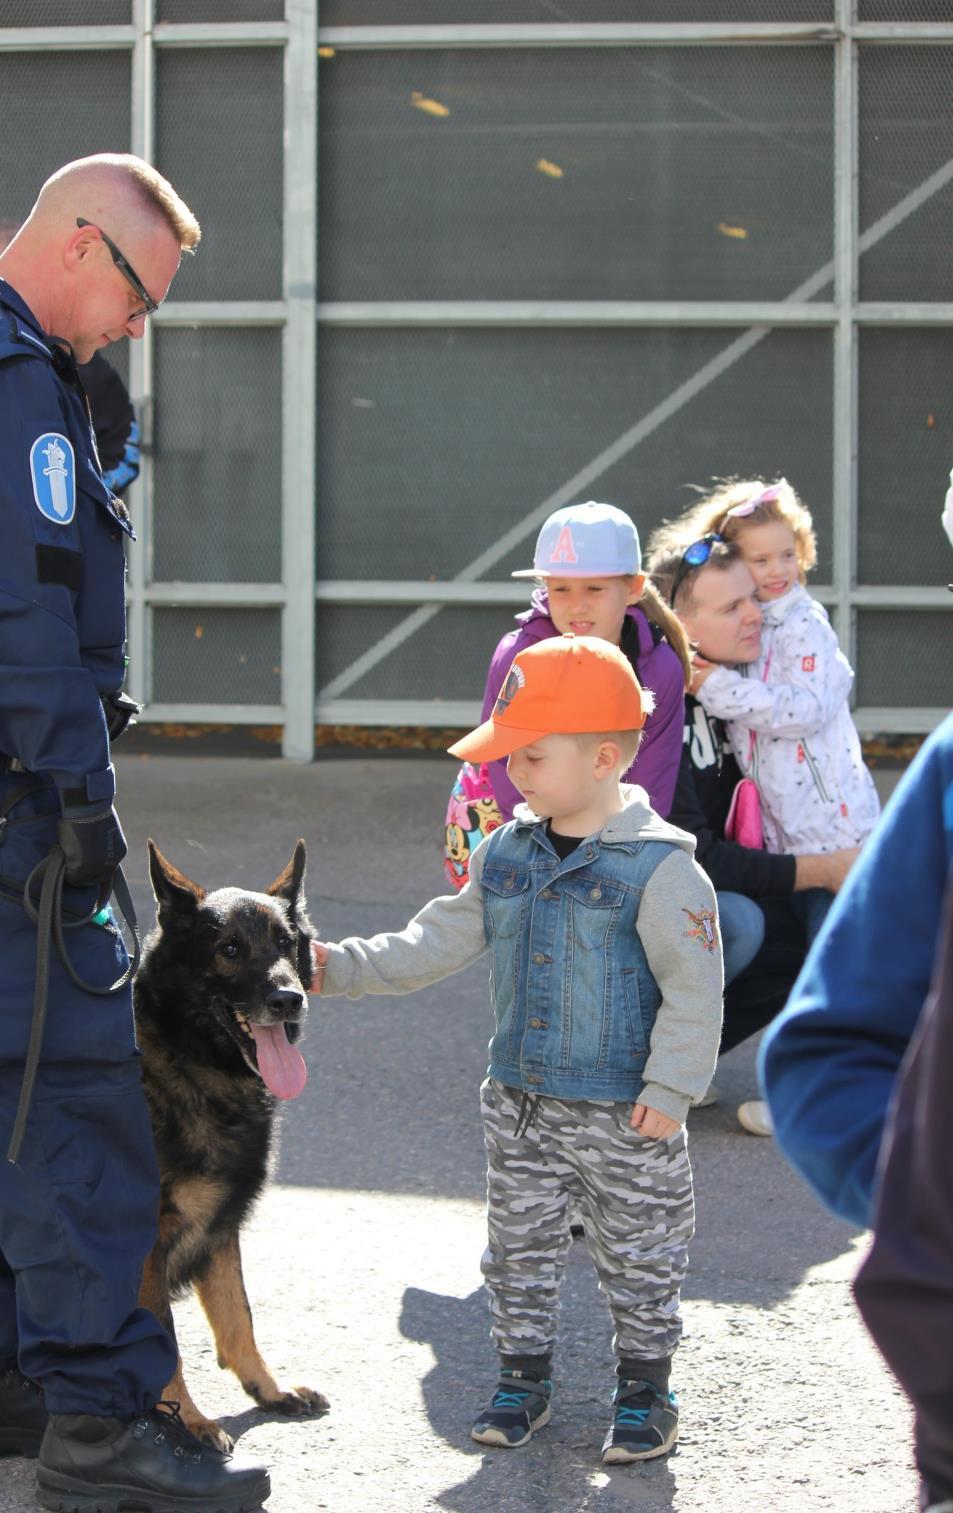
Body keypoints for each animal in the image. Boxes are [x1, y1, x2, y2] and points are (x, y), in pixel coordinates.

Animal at [132, 835, 329, 1446]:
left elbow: (238, 1313)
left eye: (286, 943)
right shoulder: (147, 1248)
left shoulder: (221, 1227)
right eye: (230, 949)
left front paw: (268, 1389)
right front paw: (186, 1418)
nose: (288, 999)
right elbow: (163, 1339)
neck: (190, 1062)